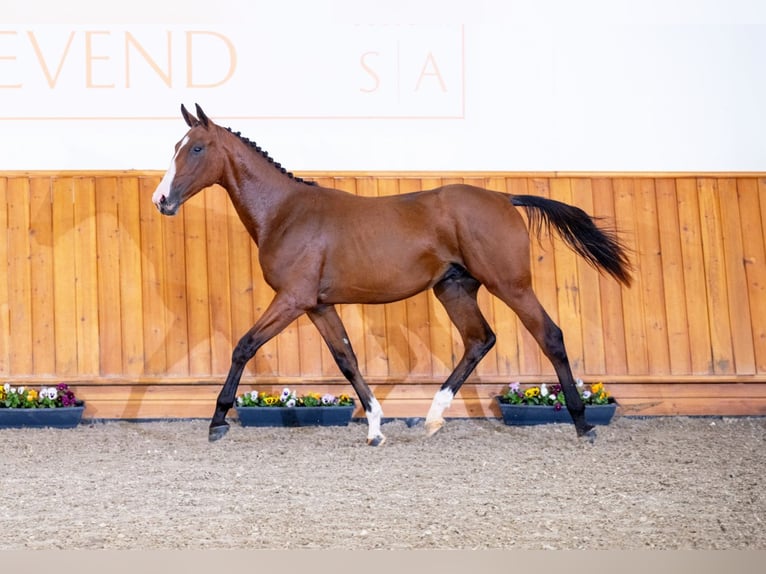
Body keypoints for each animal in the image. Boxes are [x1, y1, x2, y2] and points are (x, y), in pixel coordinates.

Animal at [153, 104, 632, 446]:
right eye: (176, 145)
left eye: (196, 148)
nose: (161, 200)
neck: (285, 213)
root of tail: (504, 198)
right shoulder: (318, 305)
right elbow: (346, 359)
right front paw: (375, 429)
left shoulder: (291, 299)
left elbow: (244, 346)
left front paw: (217, 421)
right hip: (454, 288)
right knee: (480, 340)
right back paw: (433, 419)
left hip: (510, 286)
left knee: (550, 336)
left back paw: (584, 426)